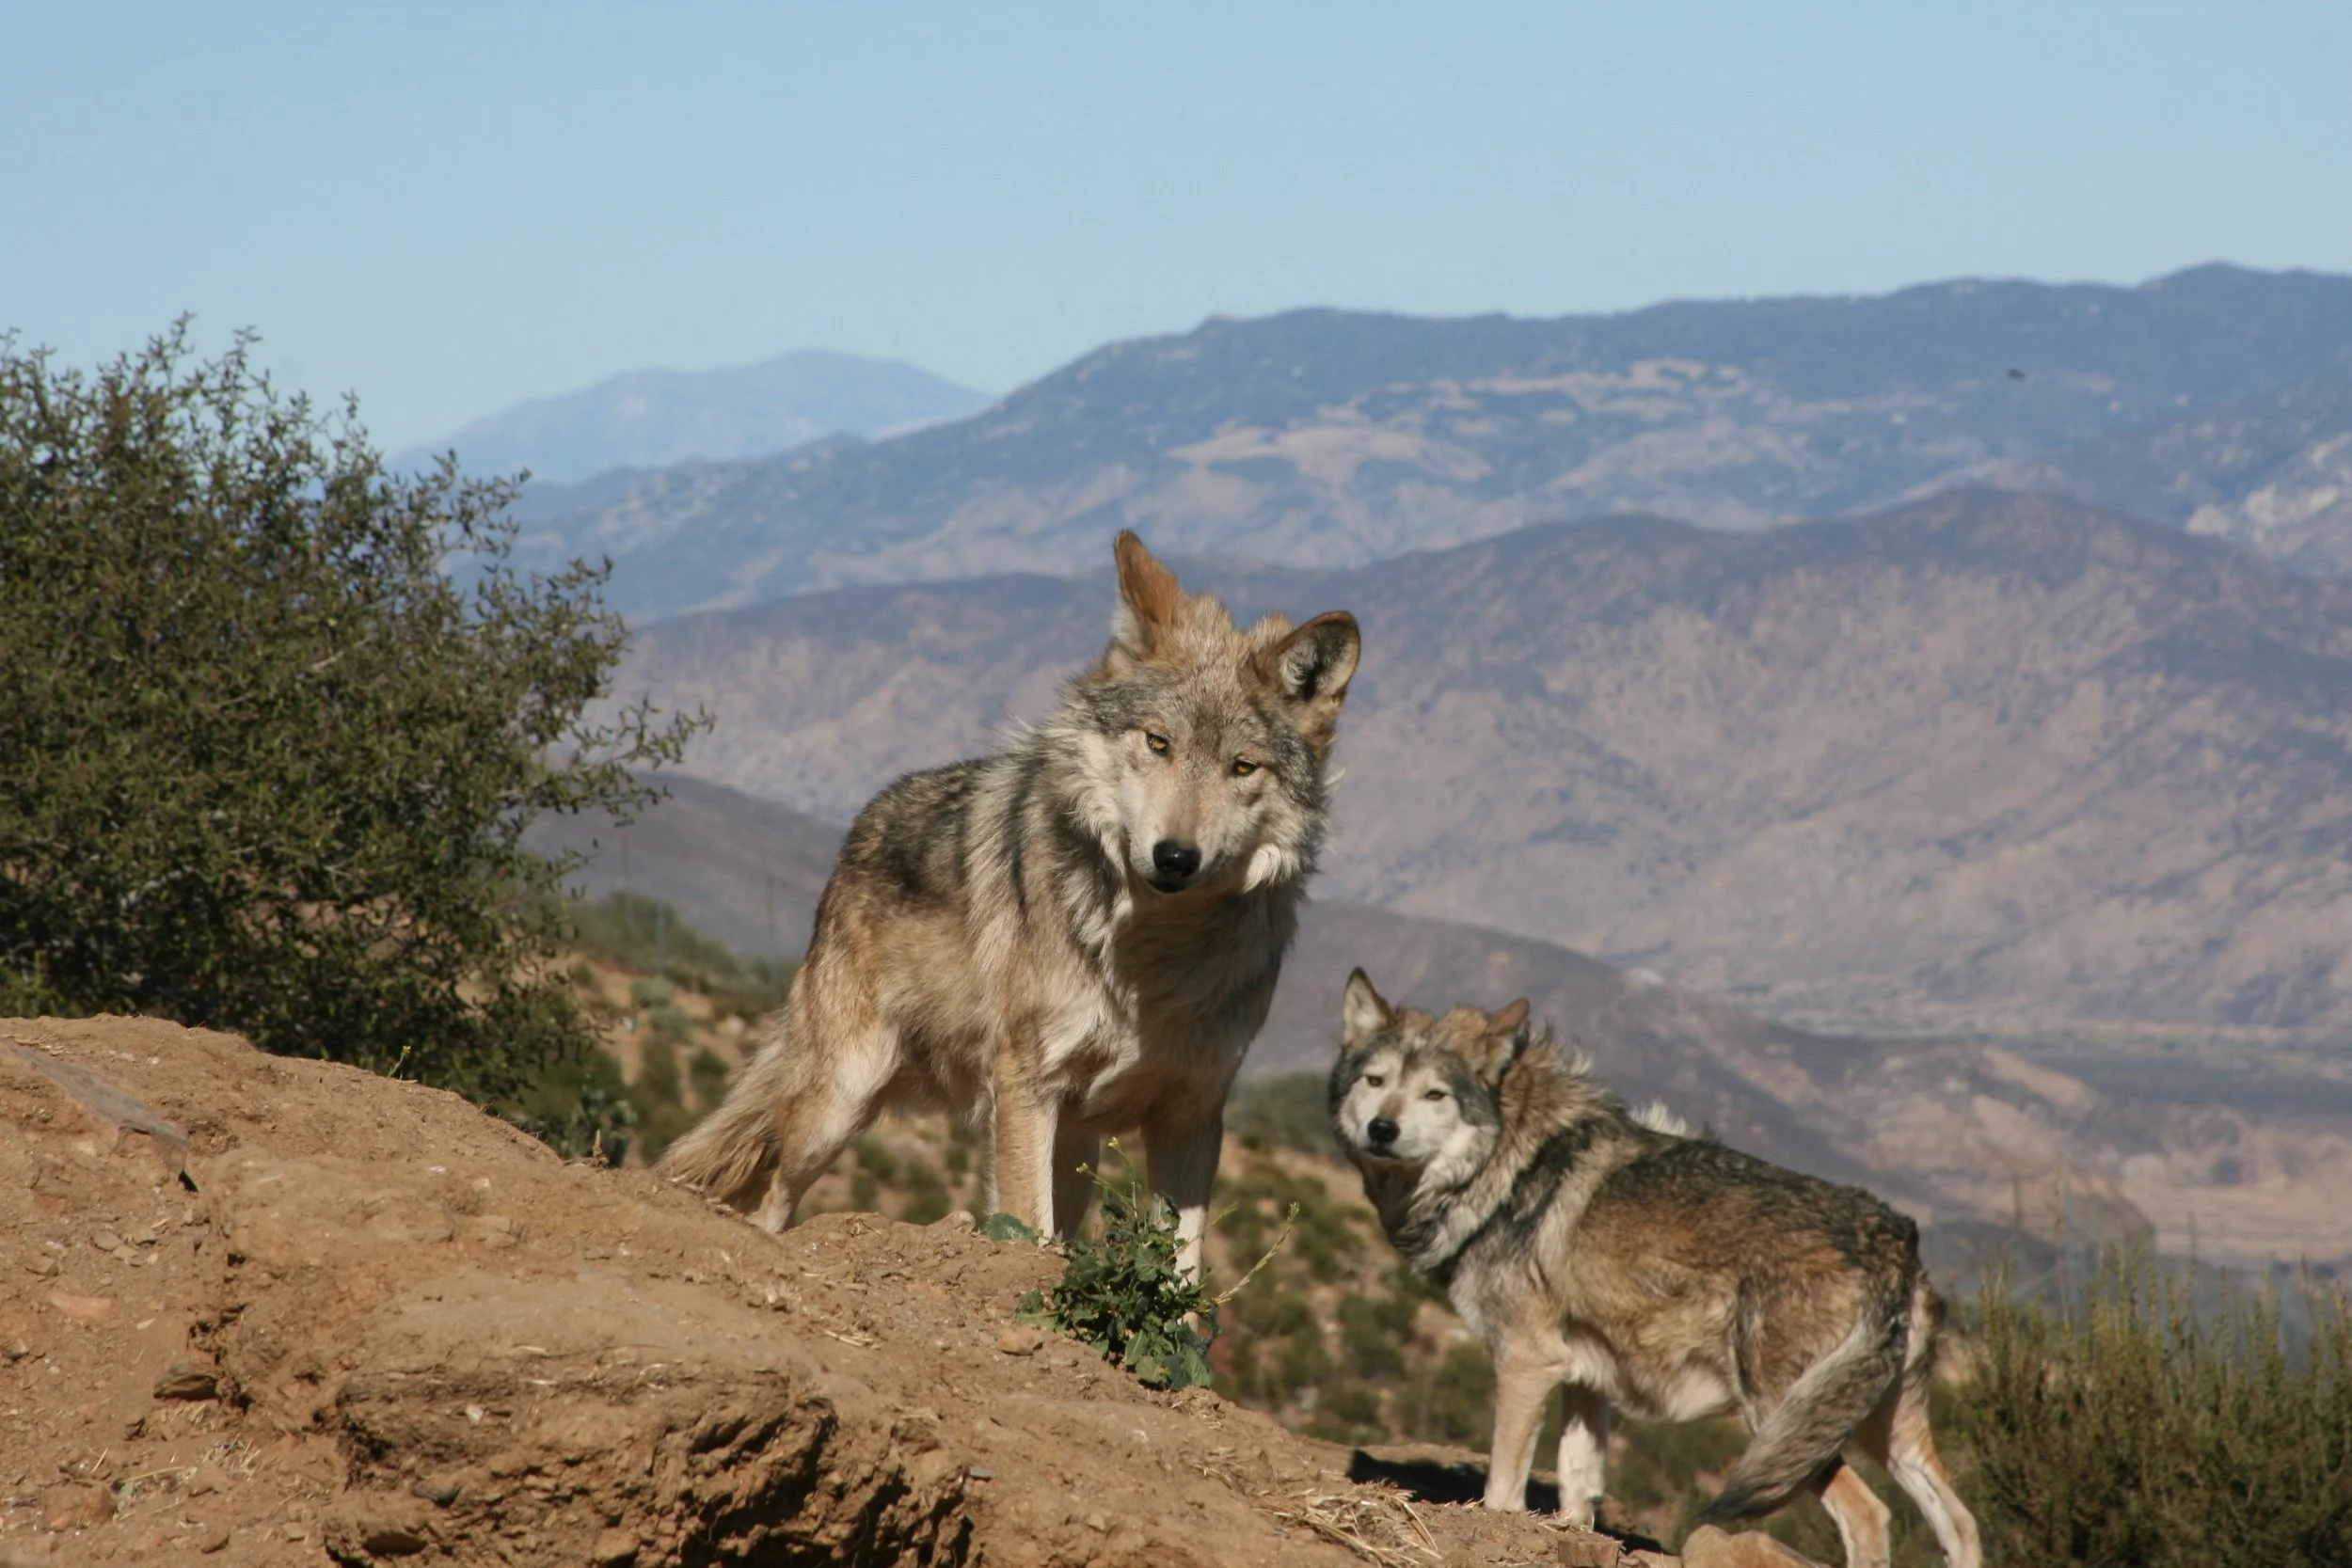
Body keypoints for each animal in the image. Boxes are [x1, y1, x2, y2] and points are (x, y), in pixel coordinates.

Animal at [660, 532, 1359, 1271]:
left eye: (1242, 767)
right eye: (1158, 742)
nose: (1174, 857)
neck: (1154, 955)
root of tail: (860, 827)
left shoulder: (1192, 1111)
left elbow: (1181, 1271)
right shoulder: (1027, 1081)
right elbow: (1028, 1226)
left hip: (1076, 1147)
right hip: (840, 1100)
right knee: (772, 1199)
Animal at [1327, 971, 1981, 1568]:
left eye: (1435, 1095)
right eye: (1375, 1081)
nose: (1382, 1129)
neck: (1512, 1164)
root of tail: (1894, 1237)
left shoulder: (1526, 1362)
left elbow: (1502, 1488)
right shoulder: (1585, 1377)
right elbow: (1578, 1486)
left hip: (1781, 1420)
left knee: (1870, 1516)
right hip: (1873, 1427)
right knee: (1961, 1521)